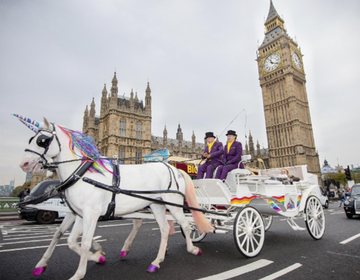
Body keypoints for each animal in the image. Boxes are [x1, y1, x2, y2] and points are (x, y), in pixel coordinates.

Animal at [17, 117, 214, 280]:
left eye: (42, 140)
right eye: (31, 139)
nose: (24, 164)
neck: (82, 174)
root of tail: (174, 169)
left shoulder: (90, 213)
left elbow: (83, 241)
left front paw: (84, 268)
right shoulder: (79, 213)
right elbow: (65, 237)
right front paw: (44, 264)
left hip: (173, 204)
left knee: (186, 224)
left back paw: (192, 249)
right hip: (156, 205)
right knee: (164, 228)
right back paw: (155, 261)